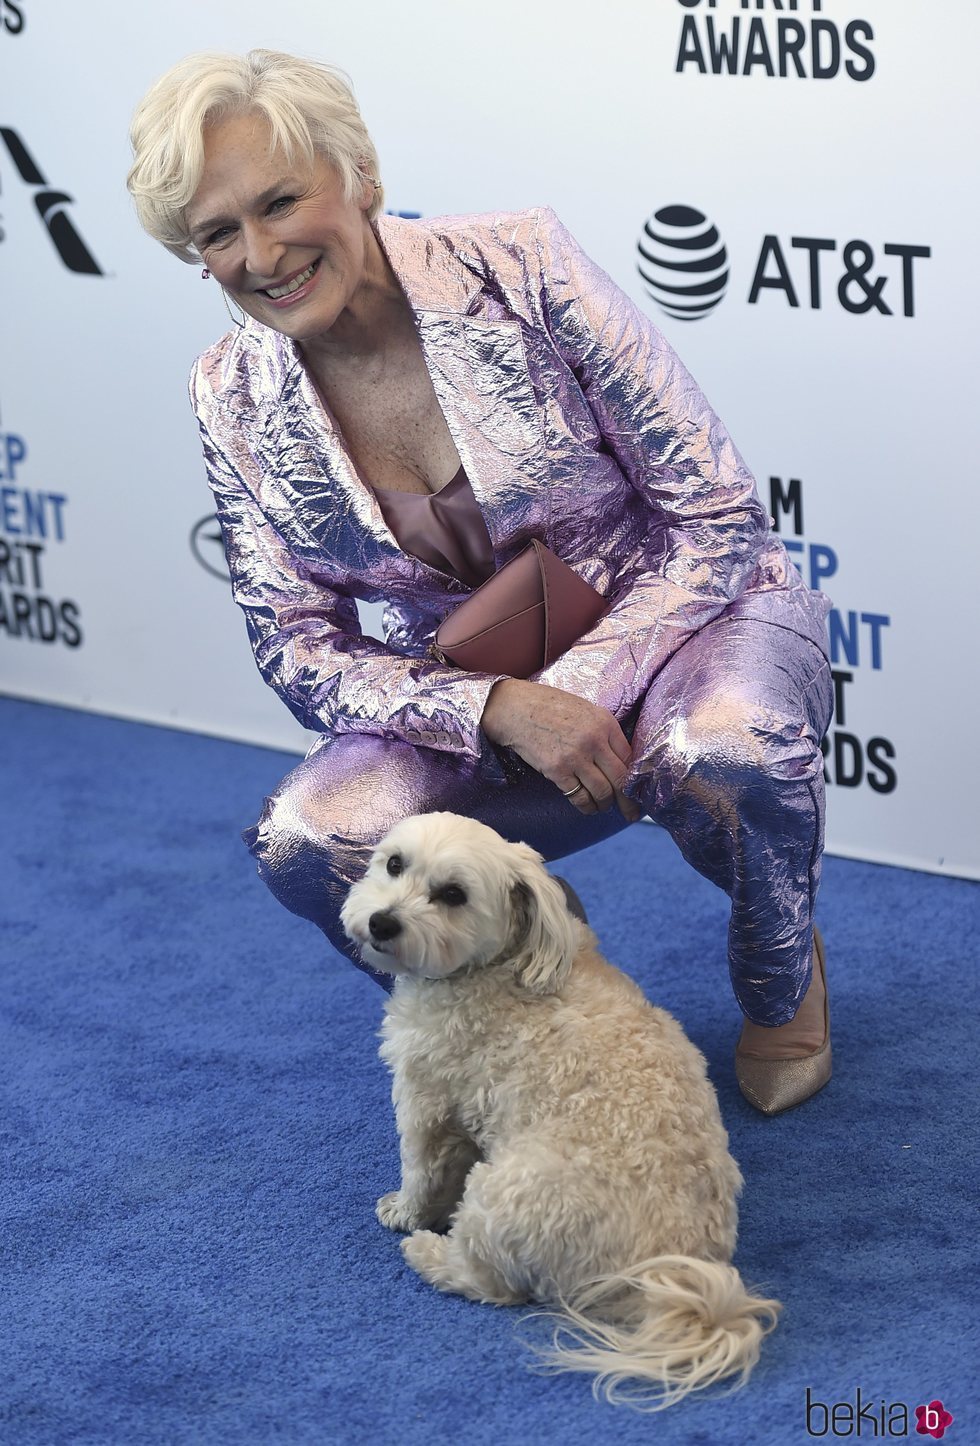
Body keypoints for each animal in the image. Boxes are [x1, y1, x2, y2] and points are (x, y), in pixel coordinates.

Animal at [341, 815, 780, 1411]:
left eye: (453, 895)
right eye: (394, 864)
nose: (382, 922)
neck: (495, 967)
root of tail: (661, 1276)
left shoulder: (425, 1097)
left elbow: (422, 1168)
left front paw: (405, 1211)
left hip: (502, 1192)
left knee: (494, 1286)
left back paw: (430, 1255)